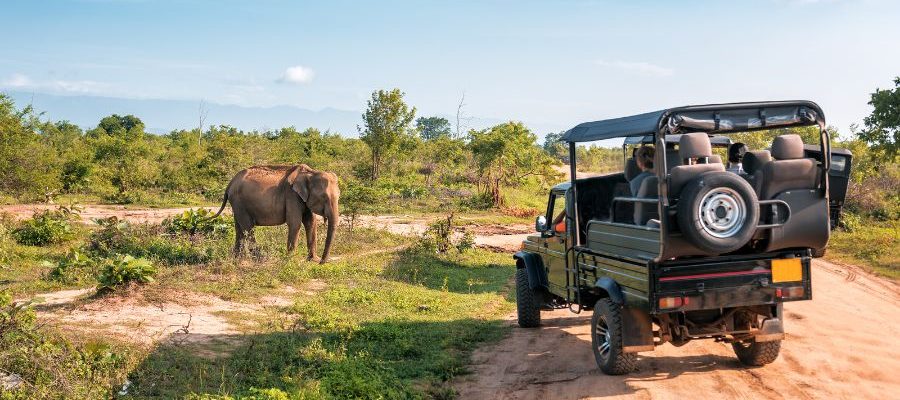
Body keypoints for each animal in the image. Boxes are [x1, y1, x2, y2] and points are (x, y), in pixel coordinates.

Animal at [211, 163, 342, 262]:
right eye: (324, 197)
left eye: (339, 196)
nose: (322, 262)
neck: (311, 173)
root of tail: (230, 183)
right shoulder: (291, 195)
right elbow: (295, 223)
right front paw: (290, 260)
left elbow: (311, 222)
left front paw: (313, 260)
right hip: (239, 202)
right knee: (248, 227)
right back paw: (260, 258)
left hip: (237, 204)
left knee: (239, 228)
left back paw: (238, 259)